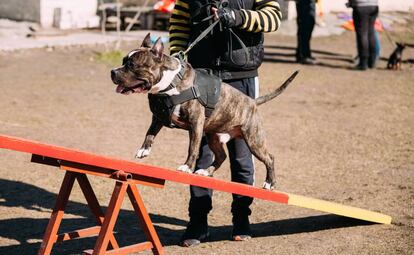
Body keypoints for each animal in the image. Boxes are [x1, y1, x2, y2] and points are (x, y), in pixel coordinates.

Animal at [110, 33, 298, 189]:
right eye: (123, 61)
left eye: (132, 65)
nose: (113, 72)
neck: (170, 83)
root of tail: (252, 101)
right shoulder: (158, 116)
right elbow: (150, 133)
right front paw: (144, 150)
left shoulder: (196, 123)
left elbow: (192, 148)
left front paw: (186, 166)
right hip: (213, 136)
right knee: (221, 156)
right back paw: (206, 171)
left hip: (253, 140)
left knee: (269, 158)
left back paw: (269, 183)